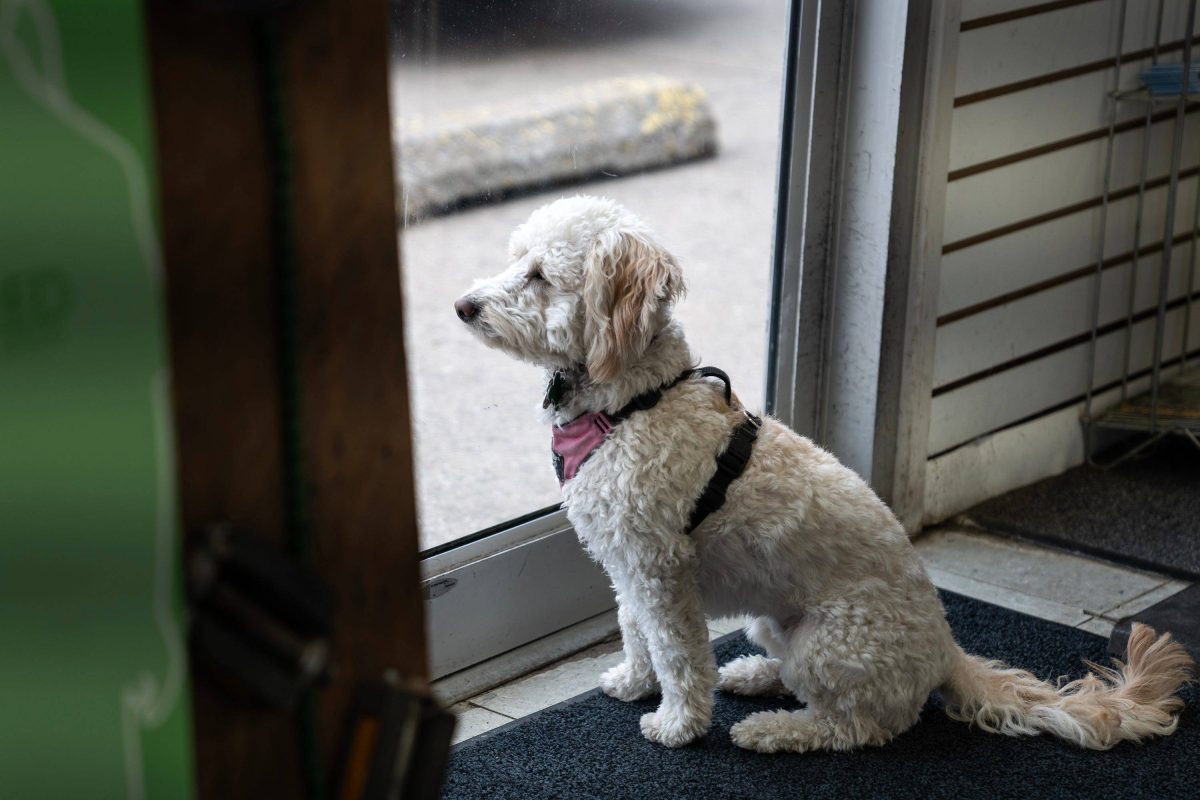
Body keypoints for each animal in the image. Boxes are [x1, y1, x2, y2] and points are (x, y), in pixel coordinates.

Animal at [451, 196, 1190, 753]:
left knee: (856, 724)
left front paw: (677, 724)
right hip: (774, 622)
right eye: (515, 258)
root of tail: (946, 649)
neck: (633, 401)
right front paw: (636, 680)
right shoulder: (628, 564)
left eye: (539, 275)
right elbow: (635, 629)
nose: (463, 305)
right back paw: (753, 675)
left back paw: (773, 728)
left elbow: (680, 653)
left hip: (832, 644)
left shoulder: (661, 571)